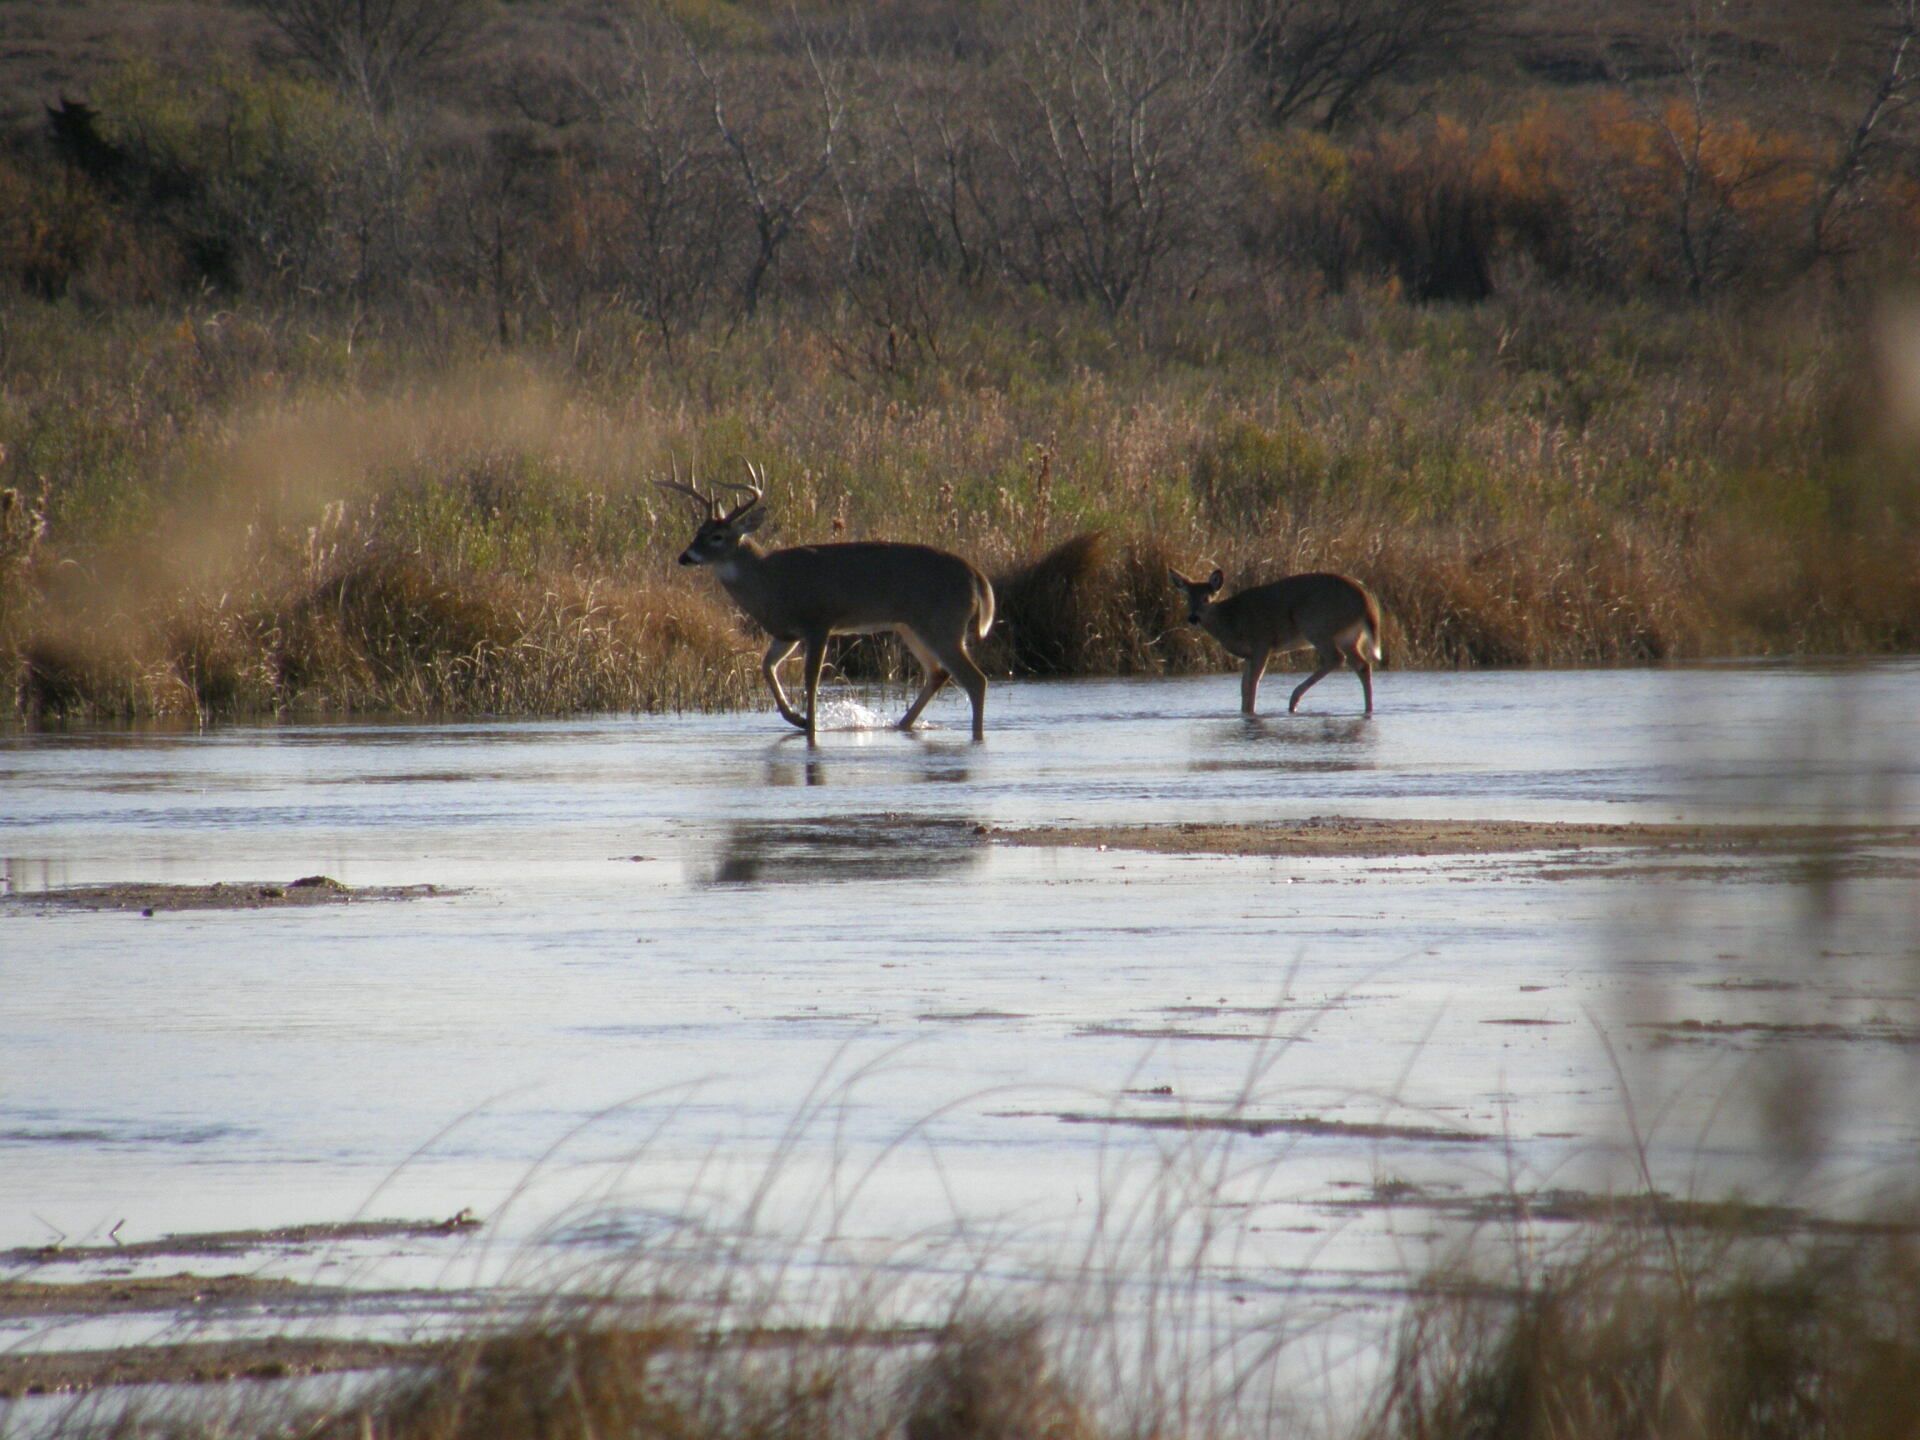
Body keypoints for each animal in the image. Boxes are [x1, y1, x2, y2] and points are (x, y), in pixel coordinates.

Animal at [659, 463, 996, 742]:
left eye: (717, 536)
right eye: (697, 532)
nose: (685, 556)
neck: (770, 581)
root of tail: (977, 575)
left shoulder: (819, 622)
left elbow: (811, 679)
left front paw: (811, 726)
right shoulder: (787, 632)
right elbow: (767, 666)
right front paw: (796, 718)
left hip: (942, 622)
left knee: (975, 680)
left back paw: (975, 736)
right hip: (911, 626)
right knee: (939, 673)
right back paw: (901, 725)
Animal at [1169, 566, 1383, 716]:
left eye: (1206, 598)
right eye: (1187, 597)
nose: (1193, 618)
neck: (1231, 620)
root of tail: (1366, 600)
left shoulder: (1262, 642)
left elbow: (1253, 683)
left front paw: (1251, 714)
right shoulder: (1248, 655)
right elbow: (1244, 687)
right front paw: (1244, 713)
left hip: (1316, 624)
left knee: (1336, 658)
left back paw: (1293, 700)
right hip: (1349, 635)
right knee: (1362, 665)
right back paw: (1368, 709)